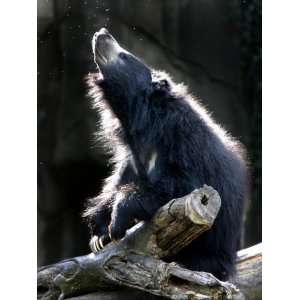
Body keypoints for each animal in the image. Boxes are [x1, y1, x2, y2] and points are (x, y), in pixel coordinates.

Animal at [83, 28, 247, 282]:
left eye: (124, 56)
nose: (102, 33)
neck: (141, 124)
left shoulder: (182, 145)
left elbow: (176, 187)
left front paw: (116, 223)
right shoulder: (131, 158)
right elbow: (116, 184)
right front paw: (99, 236)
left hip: (212, 248)